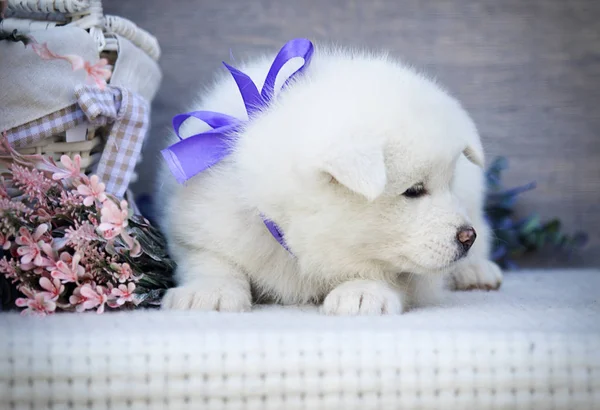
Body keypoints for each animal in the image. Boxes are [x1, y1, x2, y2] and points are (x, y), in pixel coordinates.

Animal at [155, 44, 502, 314]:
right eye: (414, 191)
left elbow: (386, 273)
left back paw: (475, 269)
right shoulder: (198, 223)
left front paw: (362, 291)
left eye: (448, 183)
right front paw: (208, 292)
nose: (466, 237)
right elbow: (210, 259)